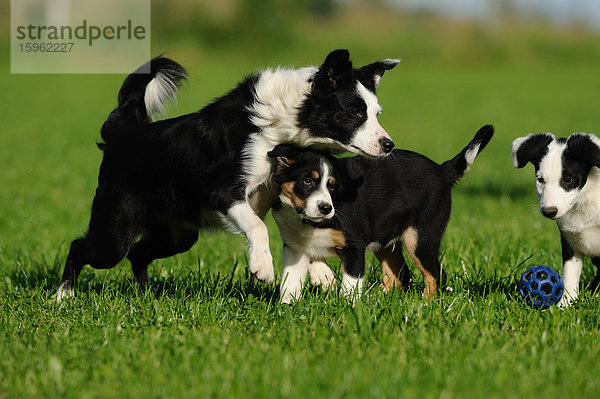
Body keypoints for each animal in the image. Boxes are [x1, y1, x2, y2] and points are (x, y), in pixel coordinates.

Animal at [58, 50, 400, 300]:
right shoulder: (223, 192)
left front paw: (323, 274)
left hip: (178, 235)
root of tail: (123, 132)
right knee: (82, 247)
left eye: (376, 113)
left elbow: (305, 233)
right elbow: (258, 226)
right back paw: (64, 295)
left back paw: (146, 296)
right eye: (355, 112)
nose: (389, 145)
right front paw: (263, 268)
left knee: (138, 254)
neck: (282, 123)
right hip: (114, 232)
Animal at [270, 125, 494, 304]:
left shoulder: (354, 246)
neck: (308, 221)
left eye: (332, 186)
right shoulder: (294, 246)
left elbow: (350, 285)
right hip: (386, 238)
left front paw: (347, 309)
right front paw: (287, 308)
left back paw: (425, 303)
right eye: (307, 181)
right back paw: (379, 298)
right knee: (400, 276)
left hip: (420, 237)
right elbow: (290, 281)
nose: (326, 208)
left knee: (436, 274)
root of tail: (442, 170)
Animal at [510, 133, 600, 308]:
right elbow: (569, 275)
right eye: (540, 179)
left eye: (569, 179)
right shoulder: (570, 241)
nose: (549, 211)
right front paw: (565, 305)